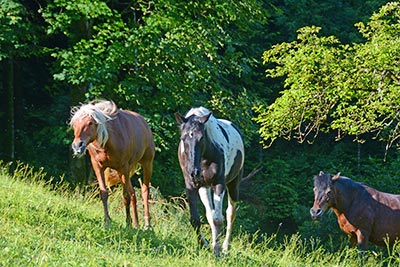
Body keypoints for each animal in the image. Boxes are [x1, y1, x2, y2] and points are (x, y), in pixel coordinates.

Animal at [70, 99, 155, 229]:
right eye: (74, 124)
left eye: (90, 123)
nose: (77, 146)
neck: (109, 140)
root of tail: (144, 123)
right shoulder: (98, 166)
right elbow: (104, 193)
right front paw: (107, 222)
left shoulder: (124, 167)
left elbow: (127, 195)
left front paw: (131, 224)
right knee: (131, 194)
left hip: (147, 164)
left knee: (144, 191)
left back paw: (146, 224)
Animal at [175, 107, 244, 255]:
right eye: (183, 138)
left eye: (201, 138)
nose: (194, 172)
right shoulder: (191, 186)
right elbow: (196, 220)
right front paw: (204, 244)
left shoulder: (219, 184)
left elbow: (218, 219)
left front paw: (217, 251)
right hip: (204, 188)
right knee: (209, 214)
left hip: (234, 185)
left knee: (230, 214)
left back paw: (225, 247)